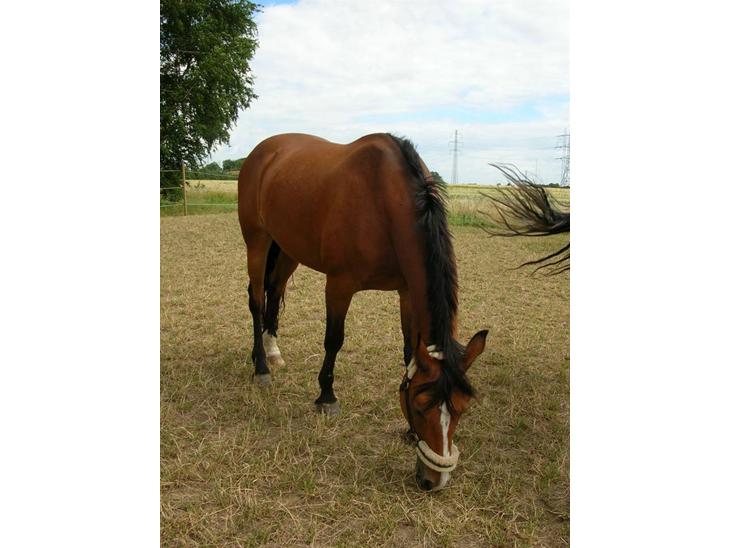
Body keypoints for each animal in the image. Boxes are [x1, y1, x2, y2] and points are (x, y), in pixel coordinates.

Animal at [237, 133, 488, 492]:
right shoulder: (339, 285)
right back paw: (260, 366)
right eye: (420, 406)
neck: (383, 201)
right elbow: (334, 340)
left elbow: (408, 351)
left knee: (275, 292)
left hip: (287, 248)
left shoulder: (406, 291)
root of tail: (264, 150)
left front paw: (407, 431)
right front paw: (326, 397)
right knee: (258, 300)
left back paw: (273, 352)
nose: (433, 482)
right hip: (257, 241)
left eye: (462, 409)